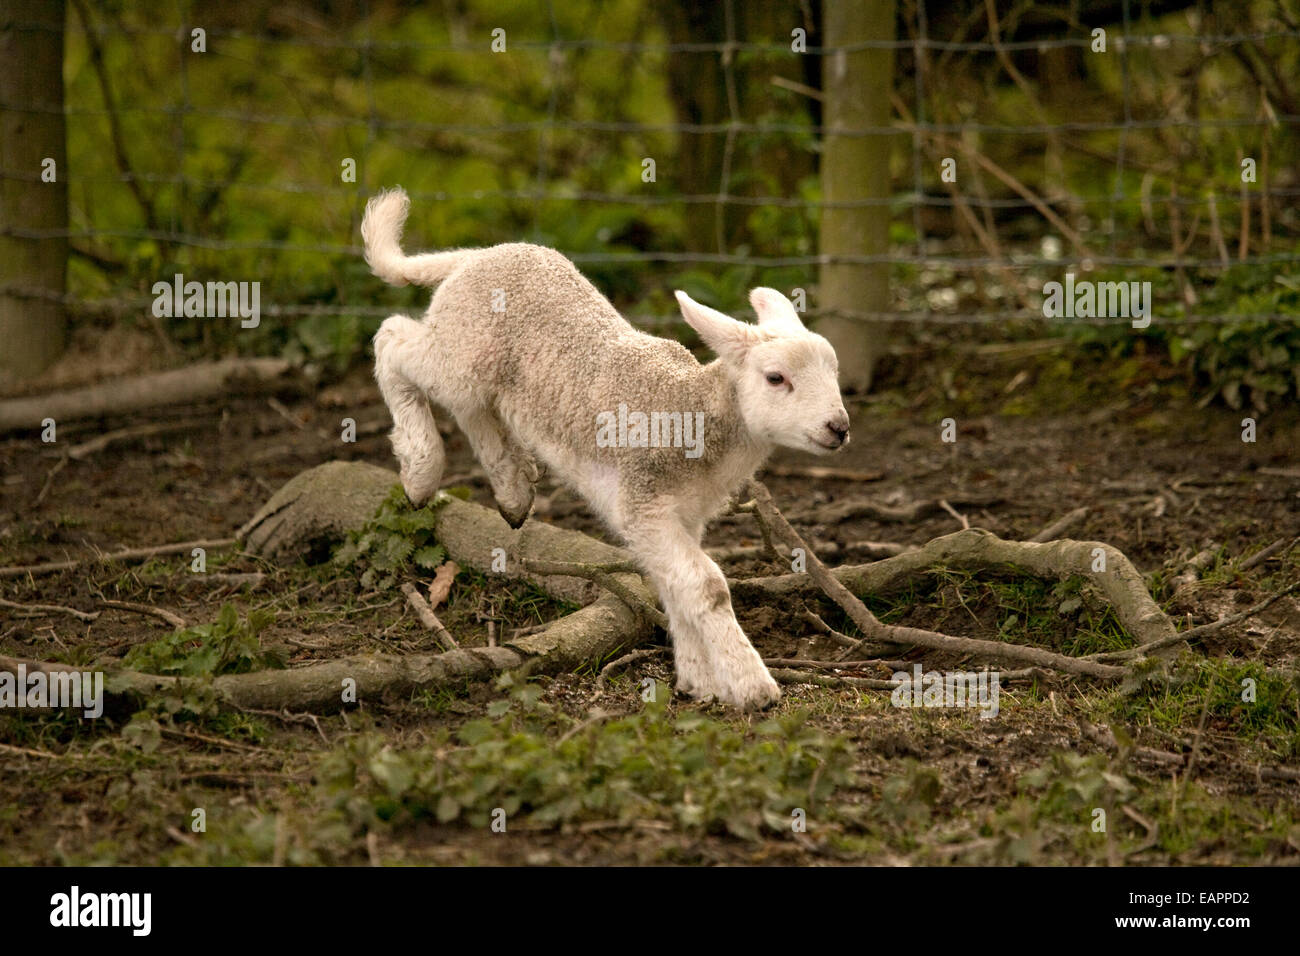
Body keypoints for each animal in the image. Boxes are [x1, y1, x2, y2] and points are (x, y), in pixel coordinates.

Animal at [364, 187, 850, 710]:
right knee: (392, 339)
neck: (691, 409)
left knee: (474, 408)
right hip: (461, 351)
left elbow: (676, 587)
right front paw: (751, 685)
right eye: (776, 378)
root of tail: (479, 256)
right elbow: (707, 586)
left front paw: (697, 680)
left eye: (835, 371)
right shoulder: (646, 504)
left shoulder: (680, 516)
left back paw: (512, 490)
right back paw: (420, 471)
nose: (839, 427)